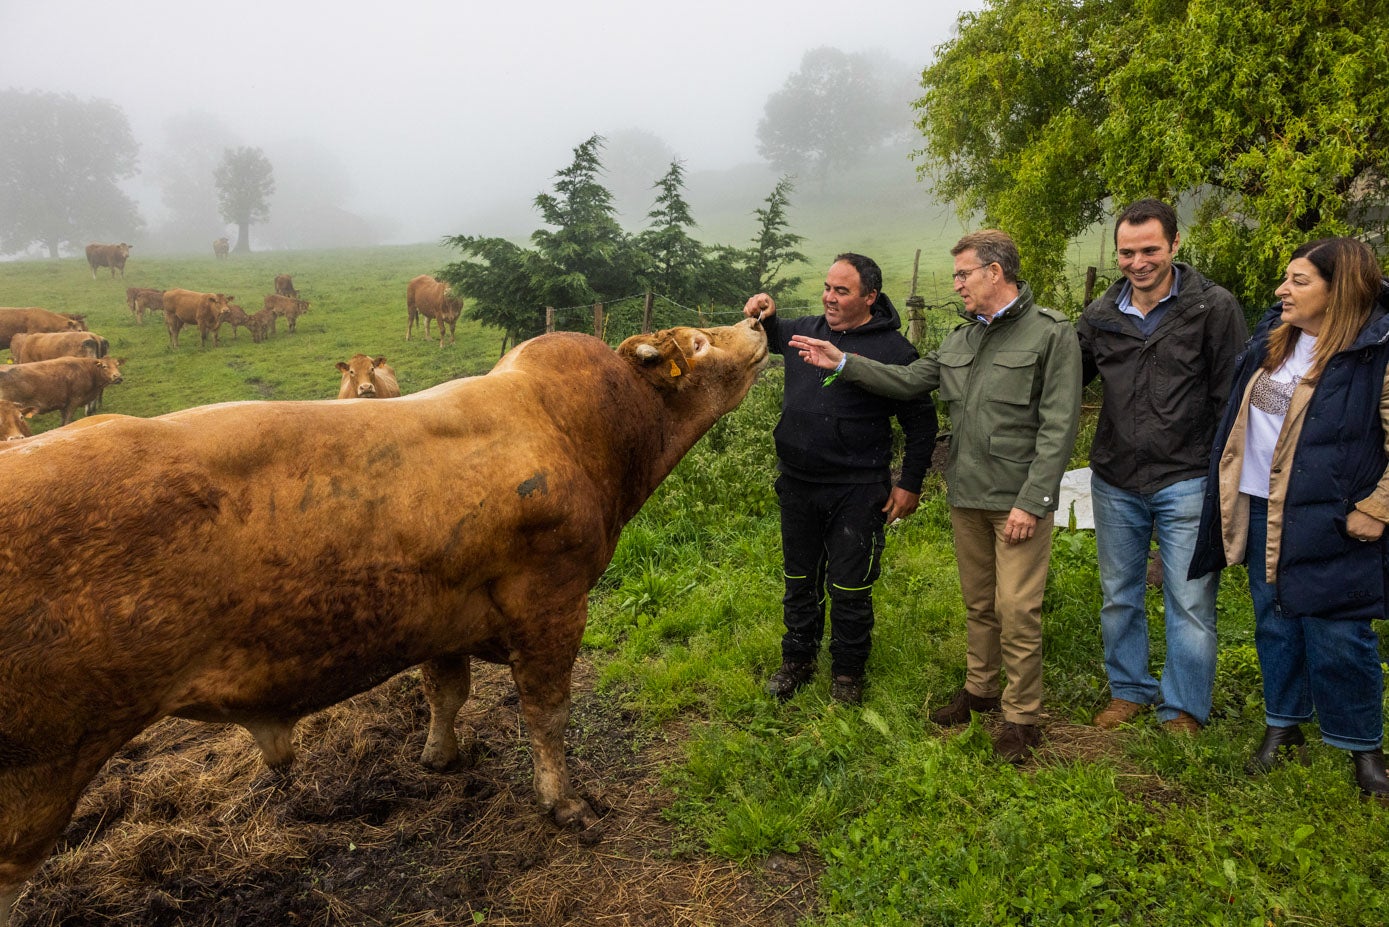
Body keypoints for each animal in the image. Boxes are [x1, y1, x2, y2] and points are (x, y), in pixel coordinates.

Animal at [0, 321, 772, 927]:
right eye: (699, 341)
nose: (757, 320)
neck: (578, 426)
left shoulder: (441, 612)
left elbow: (445, 692)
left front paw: (439, 756)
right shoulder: (552, 601)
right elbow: (547, 713)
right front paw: (567, 804)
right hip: (35, 774)